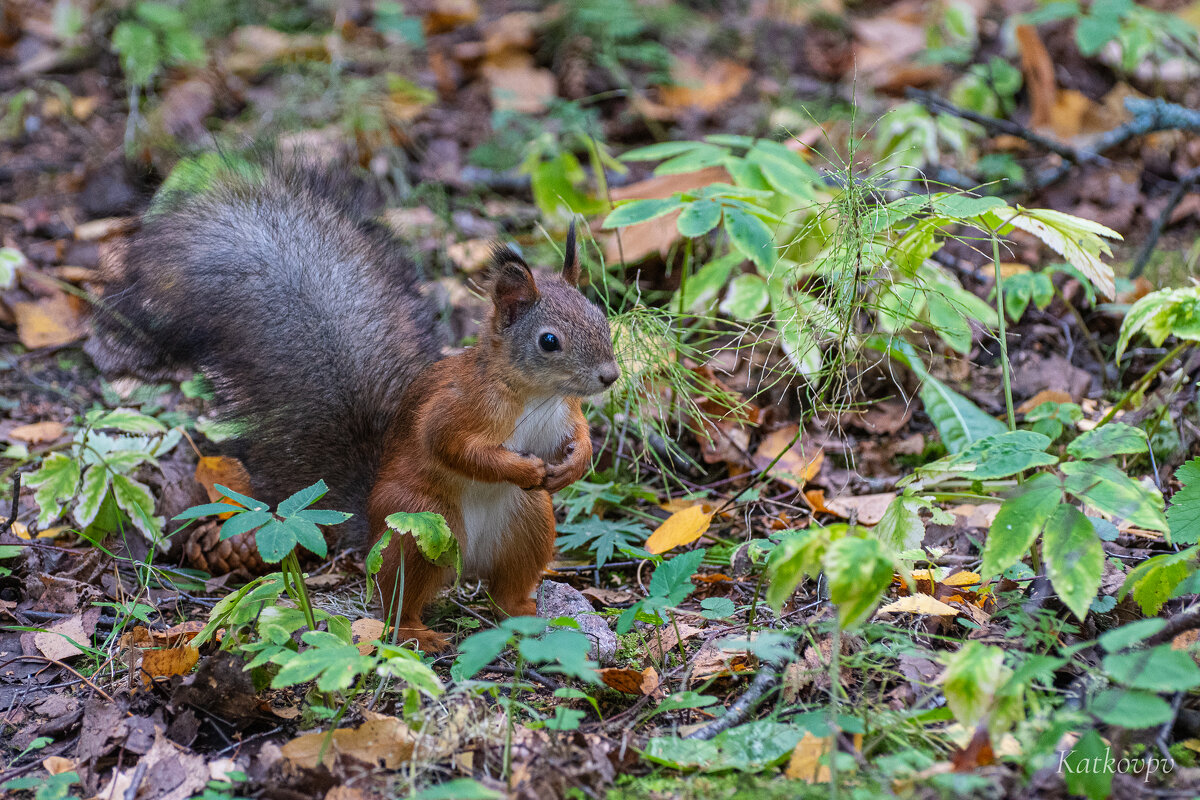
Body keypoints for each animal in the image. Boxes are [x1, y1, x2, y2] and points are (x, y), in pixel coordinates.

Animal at [90, 158, 619, 652]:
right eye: (549, 341)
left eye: (600, 315)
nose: (610, 376)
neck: (534, 395)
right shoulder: (458, 407)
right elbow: (453, 447)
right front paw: (524, 467)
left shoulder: (563, 412)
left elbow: (577, 435)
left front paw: (576, 462)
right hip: (418, 524)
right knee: (397, 600)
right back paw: (418, 632)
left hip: (527, 523)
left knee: (506, 585)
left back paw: (524, 611)